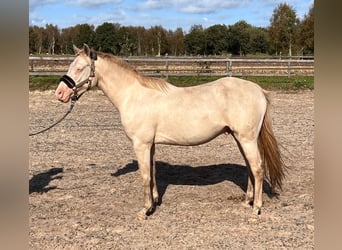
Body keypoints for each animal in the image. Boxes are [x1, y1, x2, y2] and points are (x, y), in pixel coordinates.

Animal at [56, 44, 286, 220]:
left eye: (80, 68)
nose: (60, 93)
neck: (134, 95)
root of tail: (259, 90)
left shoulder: (141, 144)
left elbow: (145, 176)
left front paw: (144, 211)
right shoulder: (150, 144)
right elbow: (153, 172)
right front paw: (154, 203)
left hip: (247, 139)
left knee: (257, 168)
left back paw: (256, 209)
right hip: (241, 139)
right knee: (250, 168)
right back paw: (247, 202)